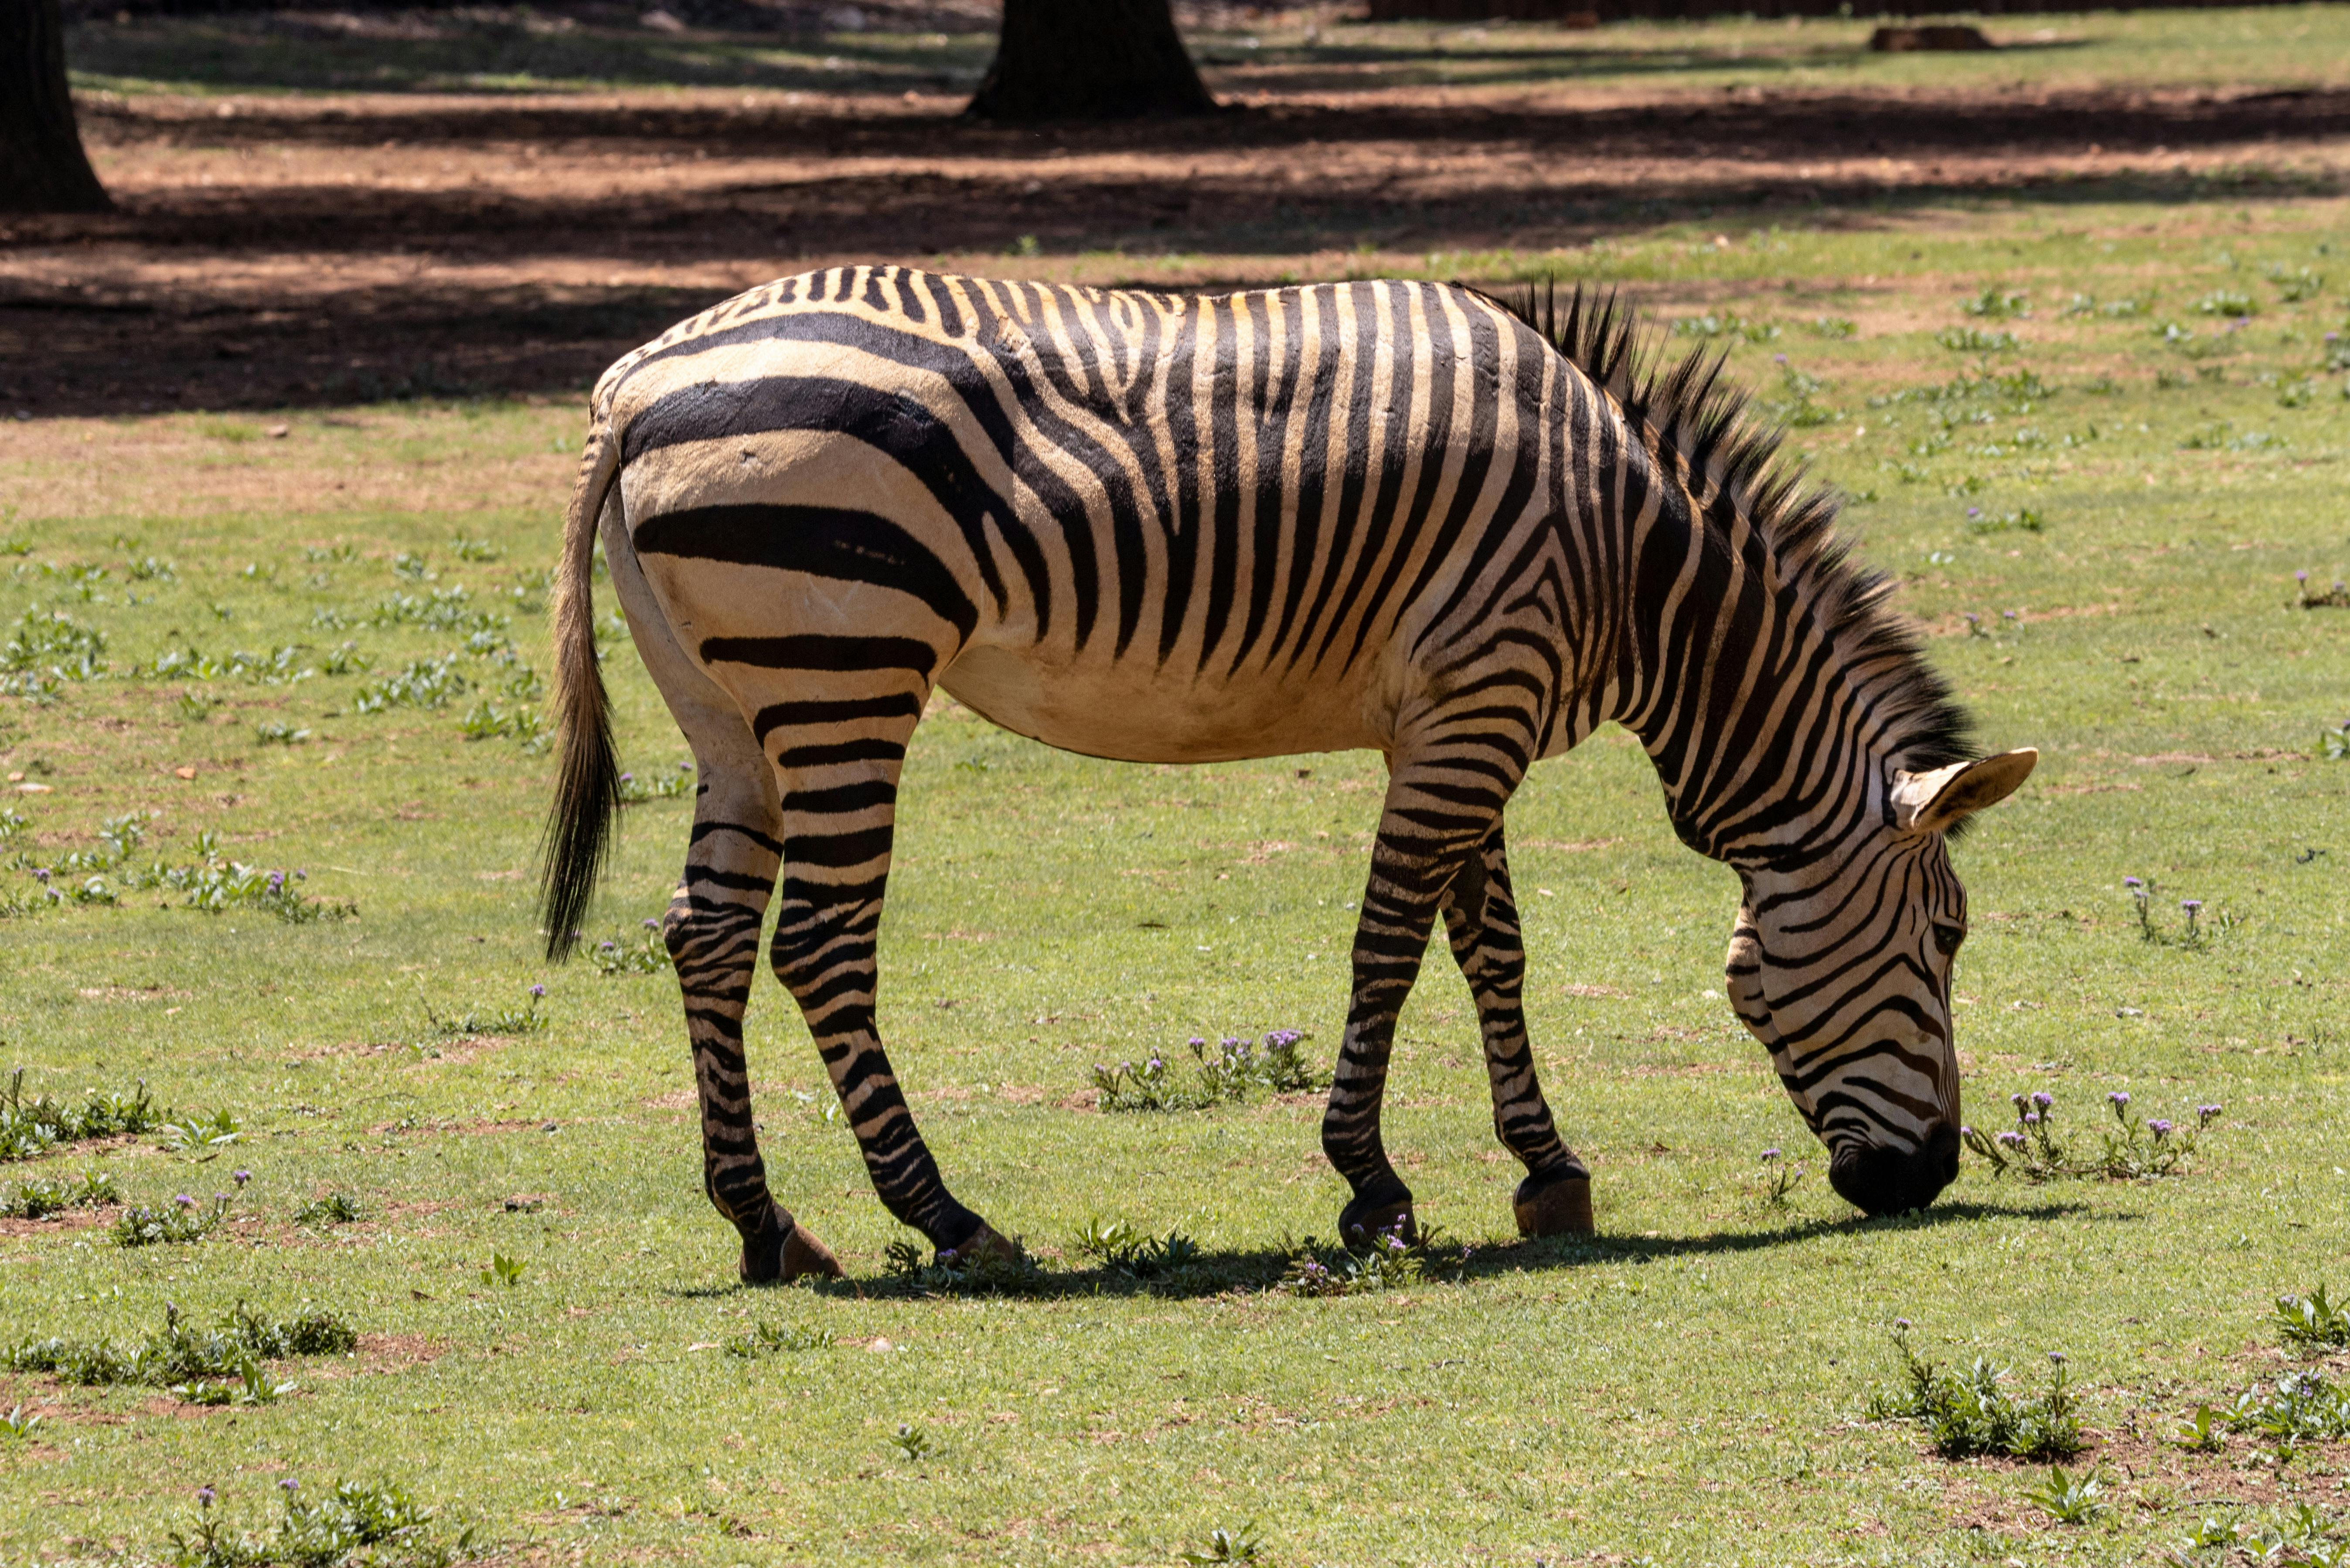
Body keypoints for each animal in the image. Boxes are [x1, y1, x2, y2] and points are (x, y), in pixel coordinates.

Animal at [538, 263, 2040, 1279]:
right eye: (1947, 938)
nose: (1920, 1179)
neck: (1634, 564)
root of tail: (632, 383)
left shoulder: (1454, 711)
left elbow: (1486, 944)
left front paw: (1544, 1169)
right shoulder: (1476, 700)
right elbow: (1391, 944)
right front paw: (1371, 1185)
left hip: (729, 702)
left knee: (705, 935)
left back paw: (763, 1222)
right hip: (841, 665)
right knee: (820, 945)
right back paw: (948, 1216)